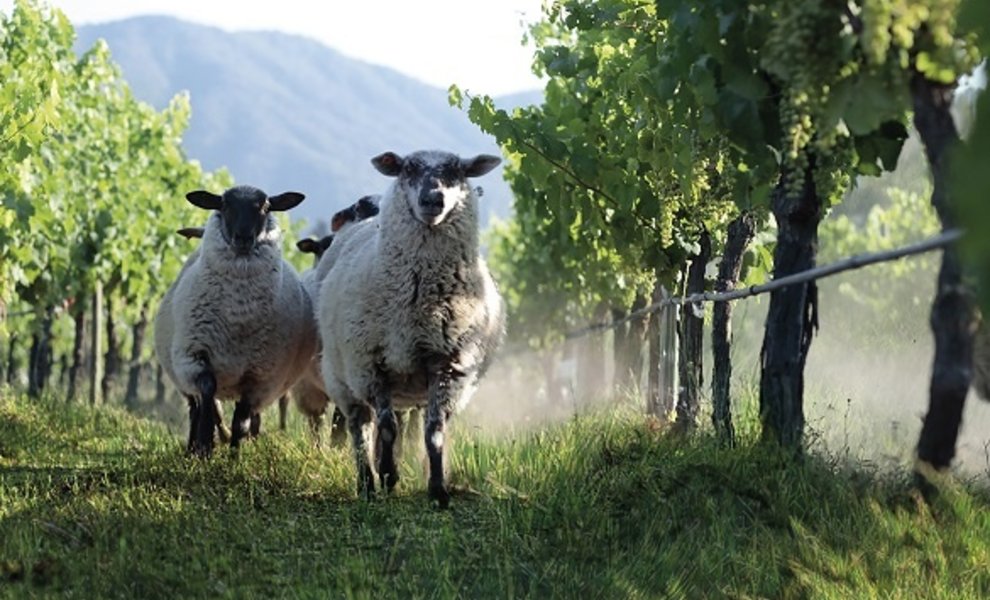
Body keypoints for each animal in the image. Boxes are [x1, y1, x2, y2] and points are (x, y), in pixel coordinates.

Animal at [155, 185, 318, 458]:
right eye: (224, 205)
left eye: (265, 207)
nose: (243, 237)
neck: (238, 314)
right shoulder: (195, 358)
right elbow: (208, 396)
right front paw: (205, 448)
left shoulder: (259, 376)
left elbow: (240, 419)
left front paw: (235, 455)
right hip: (183, 375)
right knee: (196, 407)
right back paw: (193, 448)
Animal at [318, 150, 504, 506]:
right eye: (408, 168)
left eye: (457, 171)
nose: (433, 198)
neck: (420, 303)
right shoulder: (372, 363)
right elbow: (387, 426)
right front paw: (388, 475)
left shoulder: (446, 366)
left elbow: (433, 433)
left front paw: (438, 490)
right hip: (343, 377)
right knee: (360, 427)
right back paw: (367, 482)